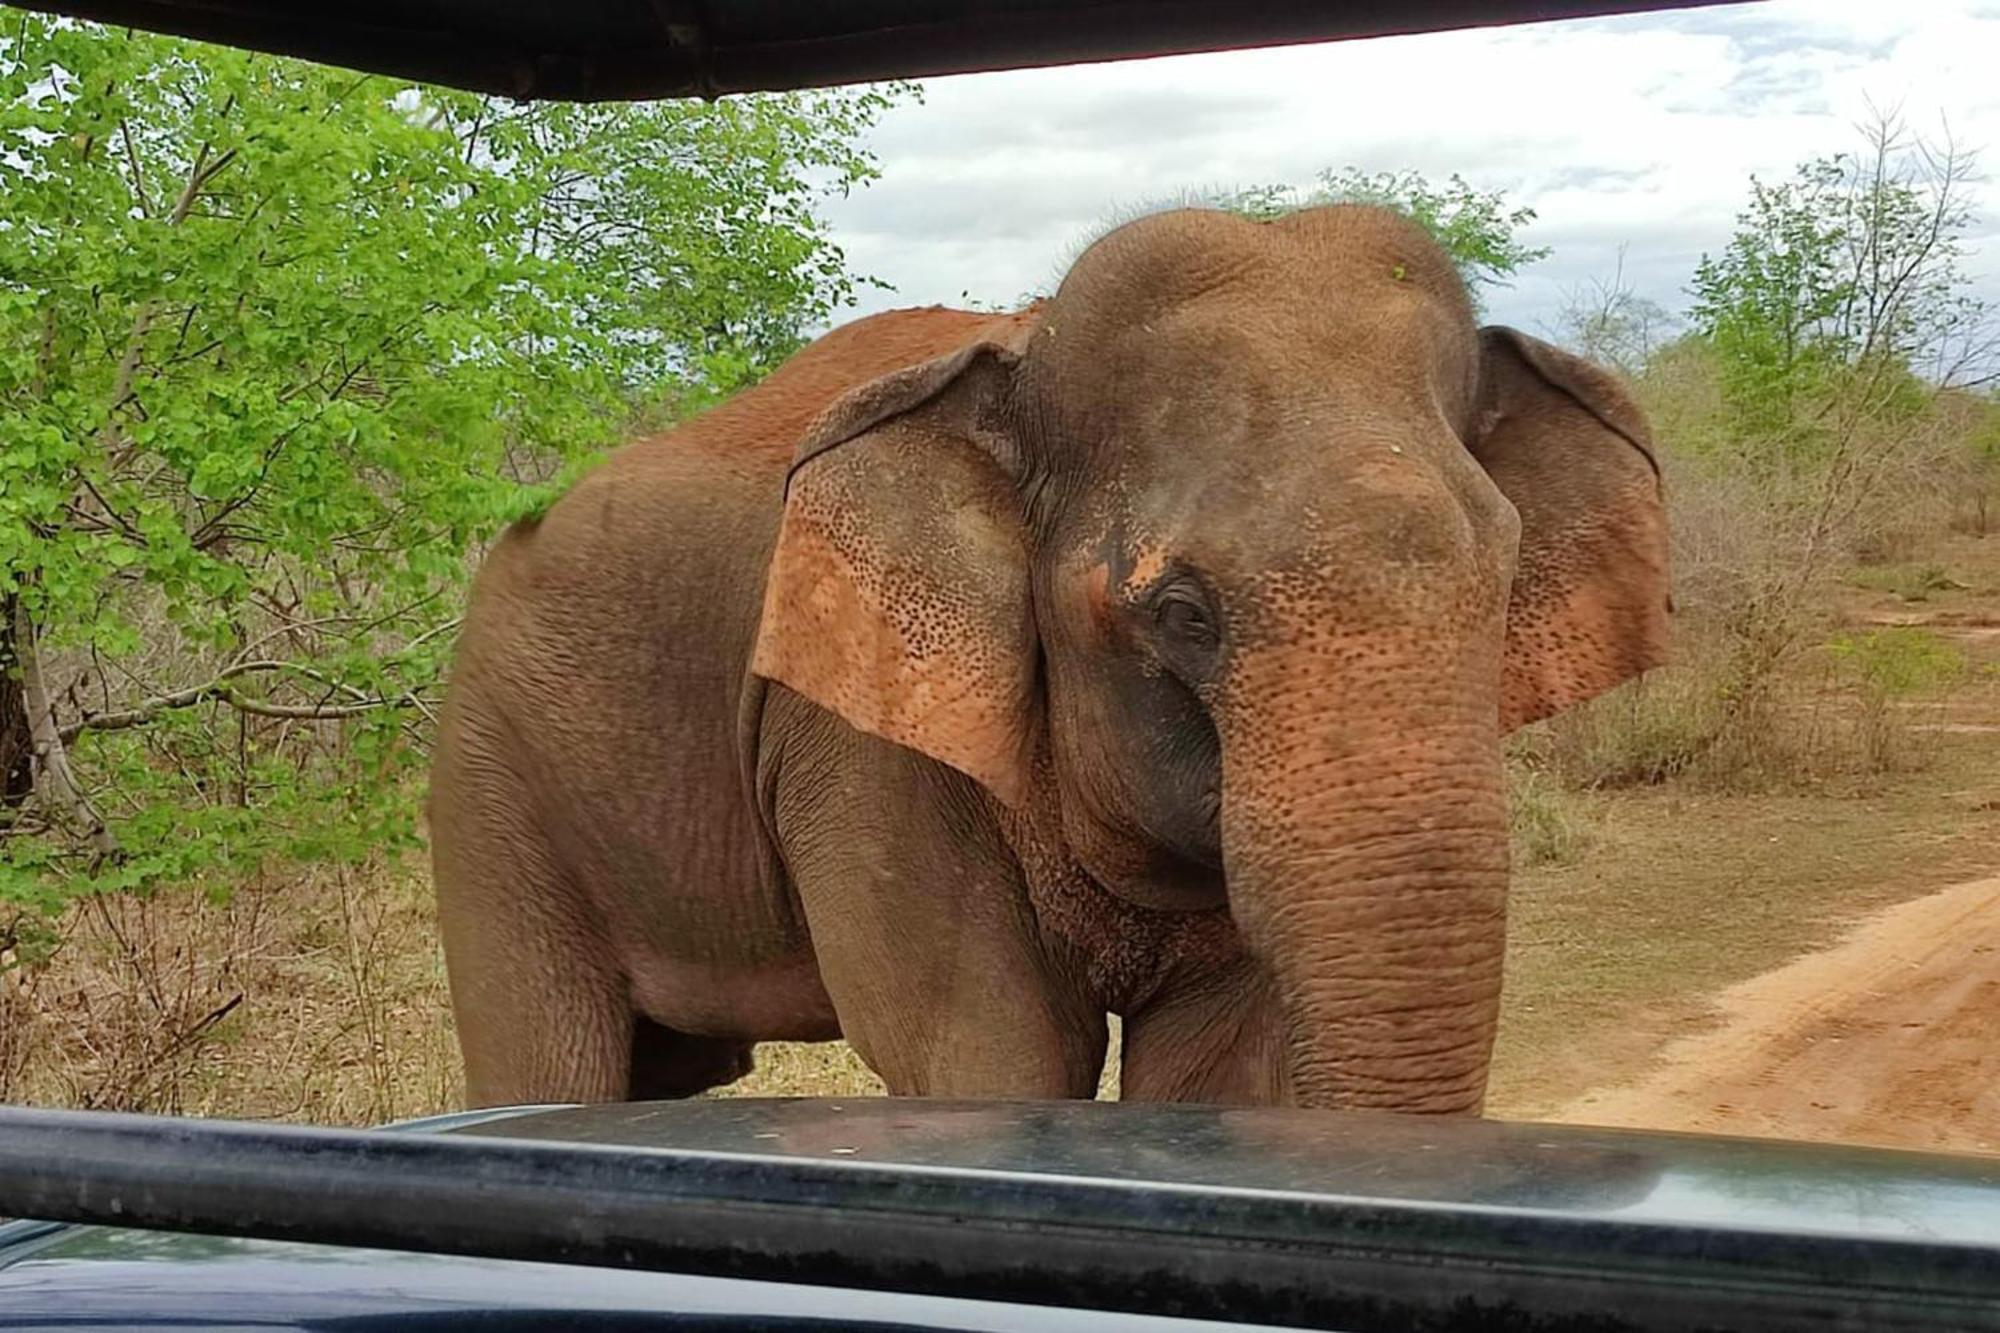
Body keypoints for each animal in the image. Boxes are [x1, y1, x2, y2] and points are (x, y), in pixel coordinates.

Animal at [426, 197, 1672, 1112]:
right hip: (491, 781)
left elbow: (1215, 1075)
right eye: (1182, 613)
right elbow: (987, 1055)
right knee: (551, 1056)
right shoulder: (858, 739)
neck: (1018, 350)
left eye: (1502, 585)